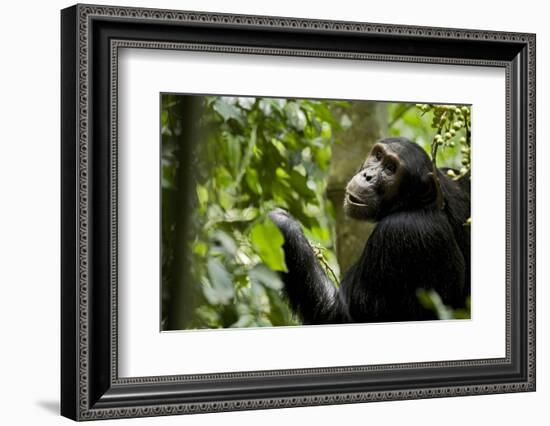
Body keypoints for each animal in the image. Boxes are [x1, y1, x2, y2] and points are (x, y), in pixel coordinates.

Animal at [270, 136, 472, 322]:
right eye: (378, 156)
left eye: (390, 169)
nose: (368, 176)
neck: (417, 205)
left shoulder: (401, 231)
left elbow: (342, 315)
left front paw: (283, 224)